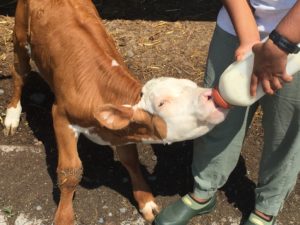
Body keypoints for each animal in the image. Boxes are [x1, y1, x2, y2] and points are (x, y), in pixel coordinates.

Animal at [3, 0, 227, 225]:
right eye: (162, 103)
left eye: (193, 85)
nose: (211, 95)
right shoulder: (61, 117)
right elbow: (70, 172)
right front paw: (64, 216)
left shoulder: (122, 131)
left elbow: (130, 160)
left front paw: (146, 201)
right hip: (20, 36)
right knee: (19, 73)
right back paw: (12, 116)